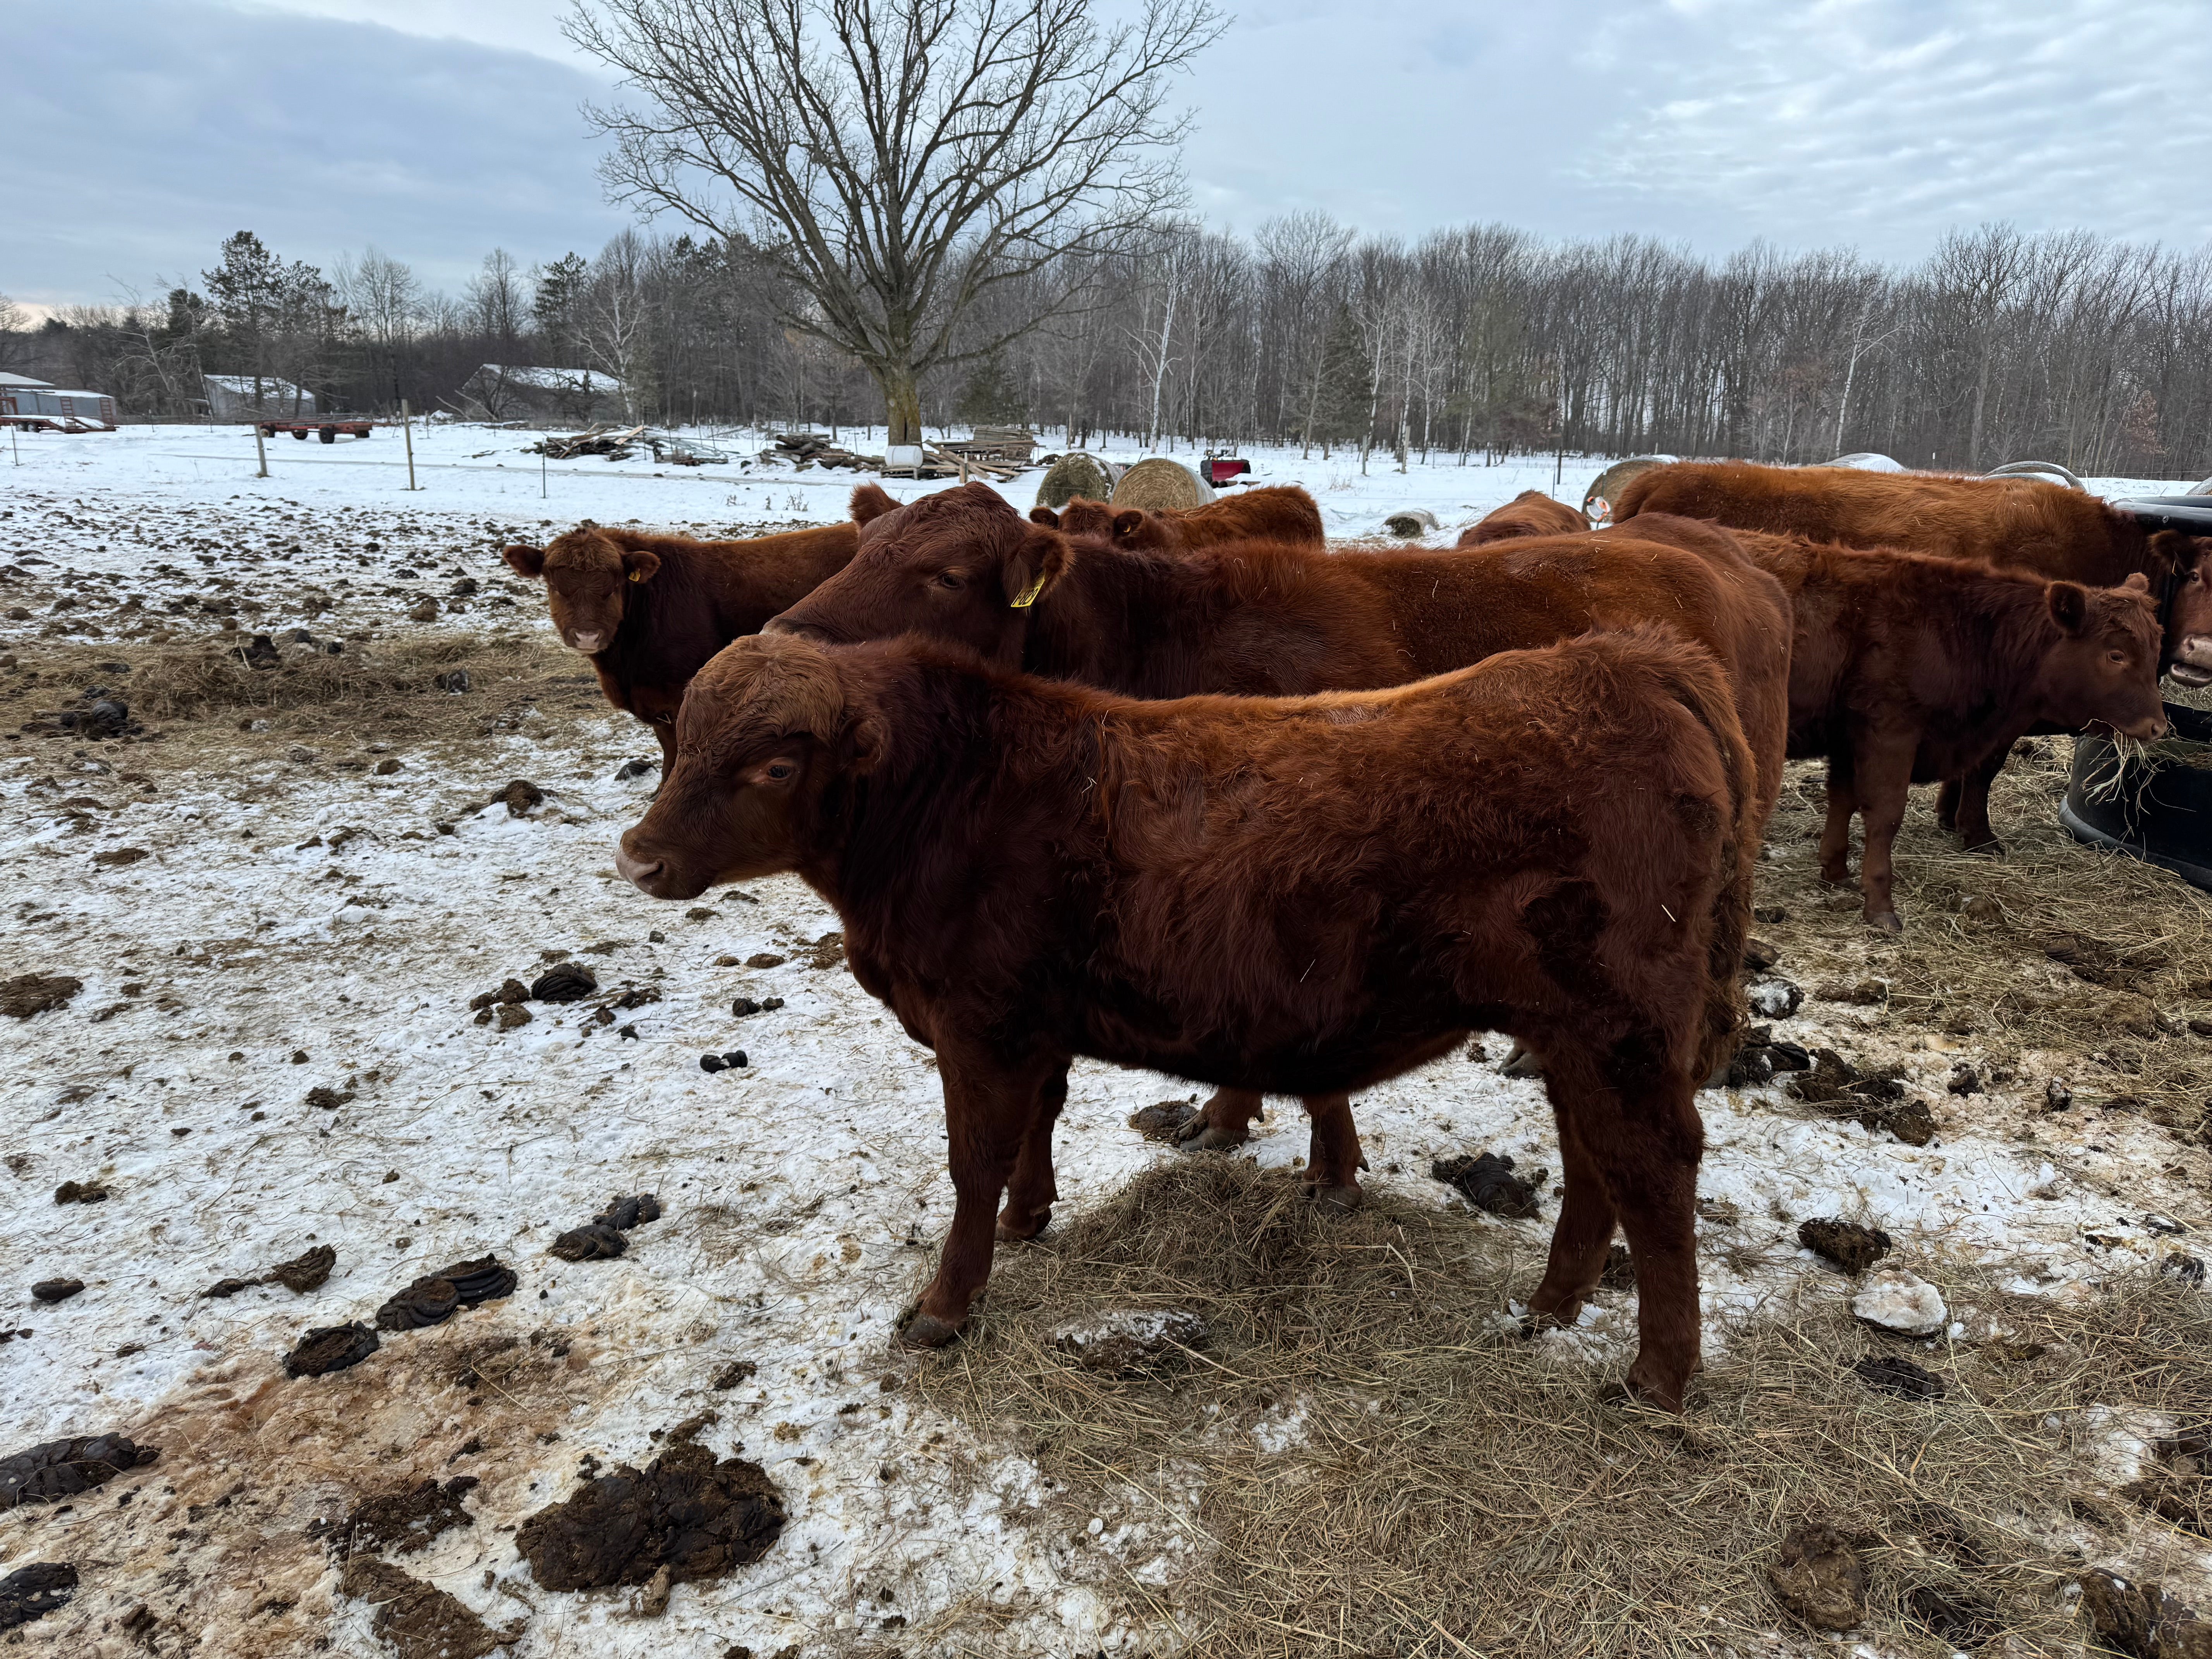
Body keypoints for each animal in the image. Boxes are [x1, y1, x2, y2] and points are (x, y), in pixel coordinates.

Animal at [616, 626, 1755, 1412]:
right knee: (1593, 1161)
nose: (638, 856)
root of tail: (1621, 660)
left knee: (1652, 1172)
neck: (955, 794)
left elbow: (974, 1160)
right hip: (1573, 1034)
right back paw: (1551, 1305)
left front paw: (945, 1304)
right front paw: (1030, 1219)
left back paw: (1659, 1377)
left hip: (1622, 1031)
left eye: (773, 764)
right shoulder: (1033, 1028)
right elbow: (1036, 1126)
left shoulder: (978, 1028)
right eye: (683, 742)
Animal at [1612, 460, 2205, 846]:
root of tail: (1659, 477)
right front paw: (1977, 835)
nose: (2202, 648)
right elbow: (1984, 770)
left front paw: (1948, 817)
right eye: (2199, 574)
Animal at [1729, 531, 2166, 928]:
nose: (2159, 726)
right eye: (2116, 655)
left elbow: (1842, 800)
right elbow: (1885, 814)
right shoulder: (1890, 728)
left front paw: (1836, 873)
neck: (1958, 630)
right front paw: (1880, 905)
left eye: (2155, 651)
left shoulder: (1848, 737)